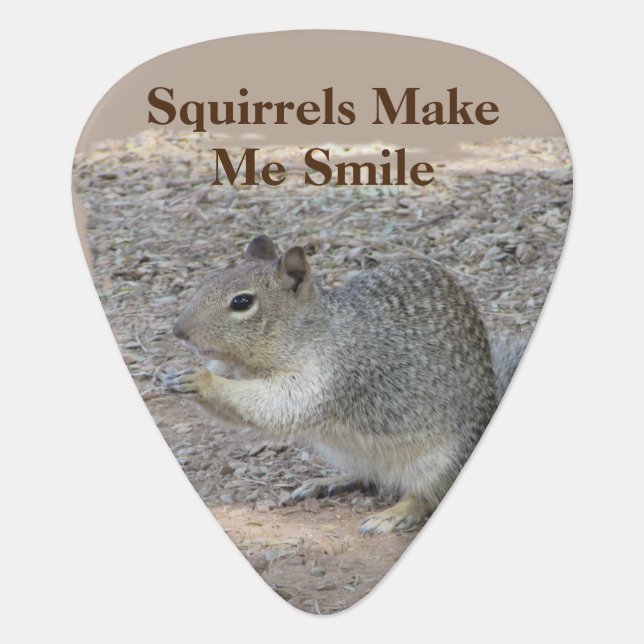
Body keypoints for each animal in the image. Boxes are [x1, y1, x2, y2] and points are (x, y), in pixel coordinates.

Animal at [164, 235, 526, 534]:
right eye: (206, 281)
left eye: (241, 302)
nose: (178, 331)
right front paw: (174, 376)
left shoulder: (332, 374)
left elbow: (280, 405)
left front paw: (203, 380)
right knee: (370, 476)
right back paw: (330, 480)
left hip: (439, 459)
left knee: (427, 495)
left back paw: (394, 514)